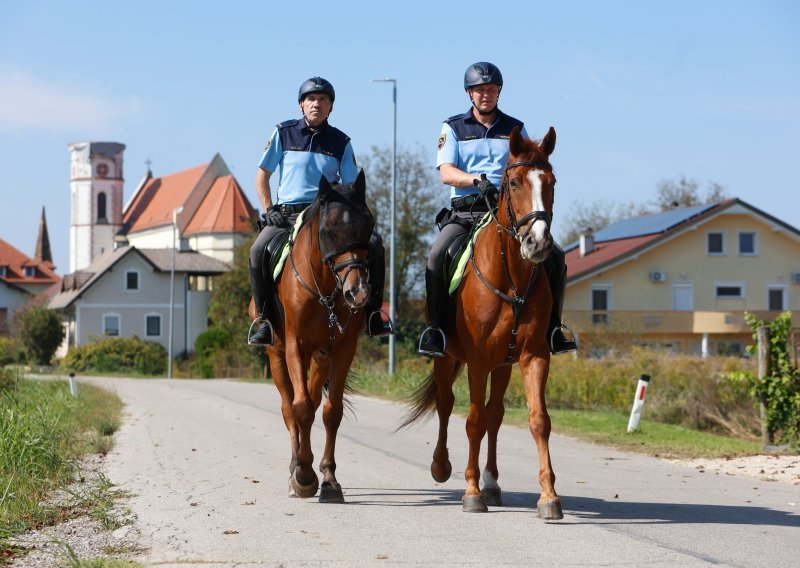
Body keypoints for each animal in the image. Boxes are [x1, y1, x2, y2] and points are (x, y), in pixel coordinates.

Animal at [247, 171, 376, 504]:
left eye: (369, 224)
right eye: (329, 229)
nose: (358, 293)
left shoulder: (343, 349)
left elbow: (331, 411)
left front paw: (329, 479)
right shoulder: (295, 346)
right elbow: (300, 407)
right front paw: (304, 475)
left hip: (321, 358)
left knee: (315, 400)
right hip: (277, 354)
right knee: (288, 406)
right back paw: (295, 467)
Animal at [400, 126, 564, 516]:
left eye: (551, 182)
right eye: (514, 182)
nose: (538, 243)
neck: (512, 278)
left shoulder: (534, 356)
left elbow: (538, 420)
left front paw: (549, 496)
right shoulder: (475, 359)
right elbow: (472, 420)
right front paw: (471, 492)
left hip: (502, 364)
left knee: (495, 414)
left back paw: (492, 483)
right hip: (448, 358)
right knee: (447, 404)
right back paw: (443, 467)